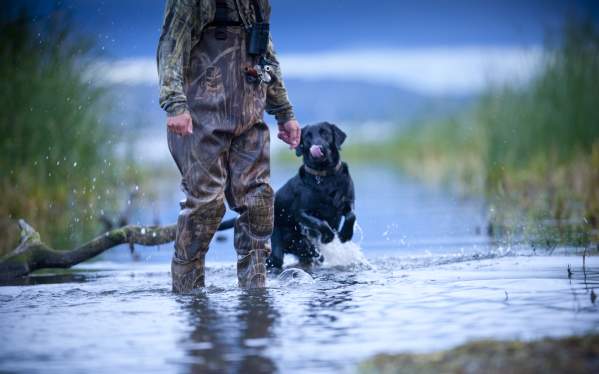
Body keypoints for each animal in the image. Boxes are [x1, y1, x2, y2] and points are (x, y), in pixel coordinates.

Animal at [217, 122, 354, 268]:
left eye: (325, 133)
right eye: (307, 136)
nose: (318, 146)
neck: (325, 176)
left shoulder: (347, 202)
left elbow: (351, 215)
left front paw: (346, 234)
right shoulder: (301, 212)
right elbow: (319, 222)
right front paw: (328, 236)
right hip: (278, 240)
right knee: (275, 259)